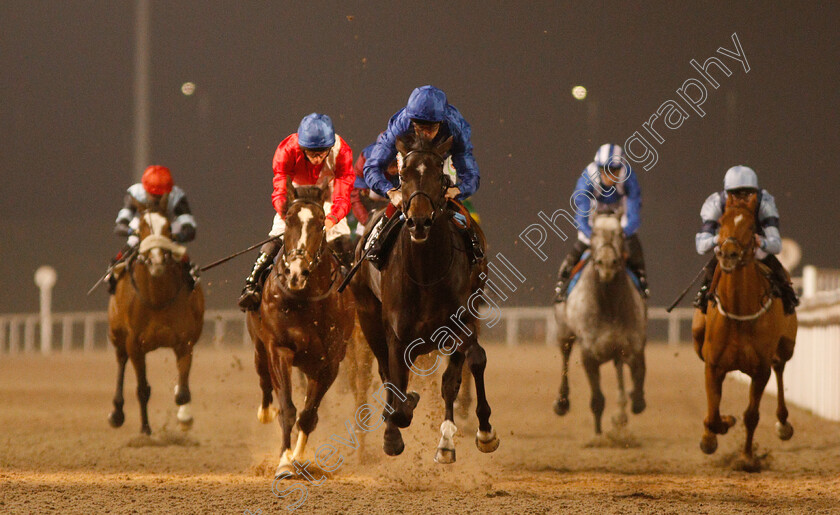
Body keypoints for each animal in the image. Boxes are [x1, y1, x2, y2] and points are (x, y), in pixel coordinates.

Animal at [107, 208, 204, 434]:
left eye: (168, 227)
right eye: (142, 227)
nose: (157, 259)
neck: (157, 299)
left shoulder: (185, 341)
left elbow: (182, 392)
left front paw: (184, 417)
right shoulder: (134, 344)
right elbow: (142, 389)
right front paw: (145, 429)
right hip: (117, 336)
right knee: (121, 361)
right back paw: (117, 413)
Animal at [249, 181, 354, 480]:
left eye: (320, 223)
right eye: (288, 220)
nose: (296, 272)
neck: (306, 299)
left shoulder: (330, 362)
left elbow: (309, 414)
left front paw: (297, 458)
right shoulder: (280, 349)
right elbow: (288, 408)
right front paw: (284, 463)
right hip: (260, 347)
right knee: (264, 379)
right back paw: (265, 412)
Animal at [350, 133, 498, 464]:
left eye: (440, 177)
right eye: (403, 176)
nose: (419, 222)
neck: (427, 273)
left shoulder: (462, 321)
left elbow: (471, 364)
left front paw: (483, 432)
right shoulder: (397, 333)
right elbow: (396, 385)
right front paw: (393, 433)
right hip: (367, 317)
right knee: (385, 371)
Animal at [692, 192, 796, 472]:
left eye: (751, 226)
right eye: (721, 222)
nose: (729, 253)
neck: (739, 312)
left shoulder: (760, 370)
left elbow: (751, 415)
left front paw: (748, 457)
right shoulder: (713, 365)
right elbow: (712, 414)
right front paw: (713, 435)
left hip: (787, 345)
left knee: (780, 366)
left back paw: (783, 424)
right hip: (697, 336)